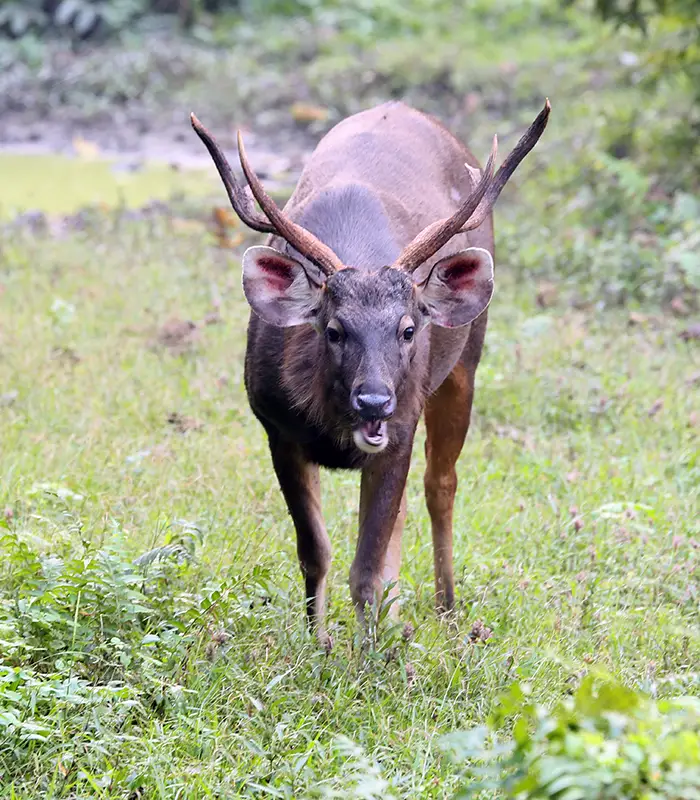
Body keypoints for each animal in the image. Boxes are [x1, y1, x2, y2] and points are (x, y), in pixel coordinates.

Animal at [191, 99, 550, 647]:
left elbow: (365, 568)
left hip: (464, 364)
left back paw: (447, 609)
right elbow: (315, 552)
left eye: (408, 329)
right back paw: (399, 614)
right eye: (334, 329)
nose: (374, 400)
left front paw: (368, 657)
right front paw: (319, 643)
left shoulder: (400, 429)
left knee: (440, 484)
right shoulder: (276, 429)